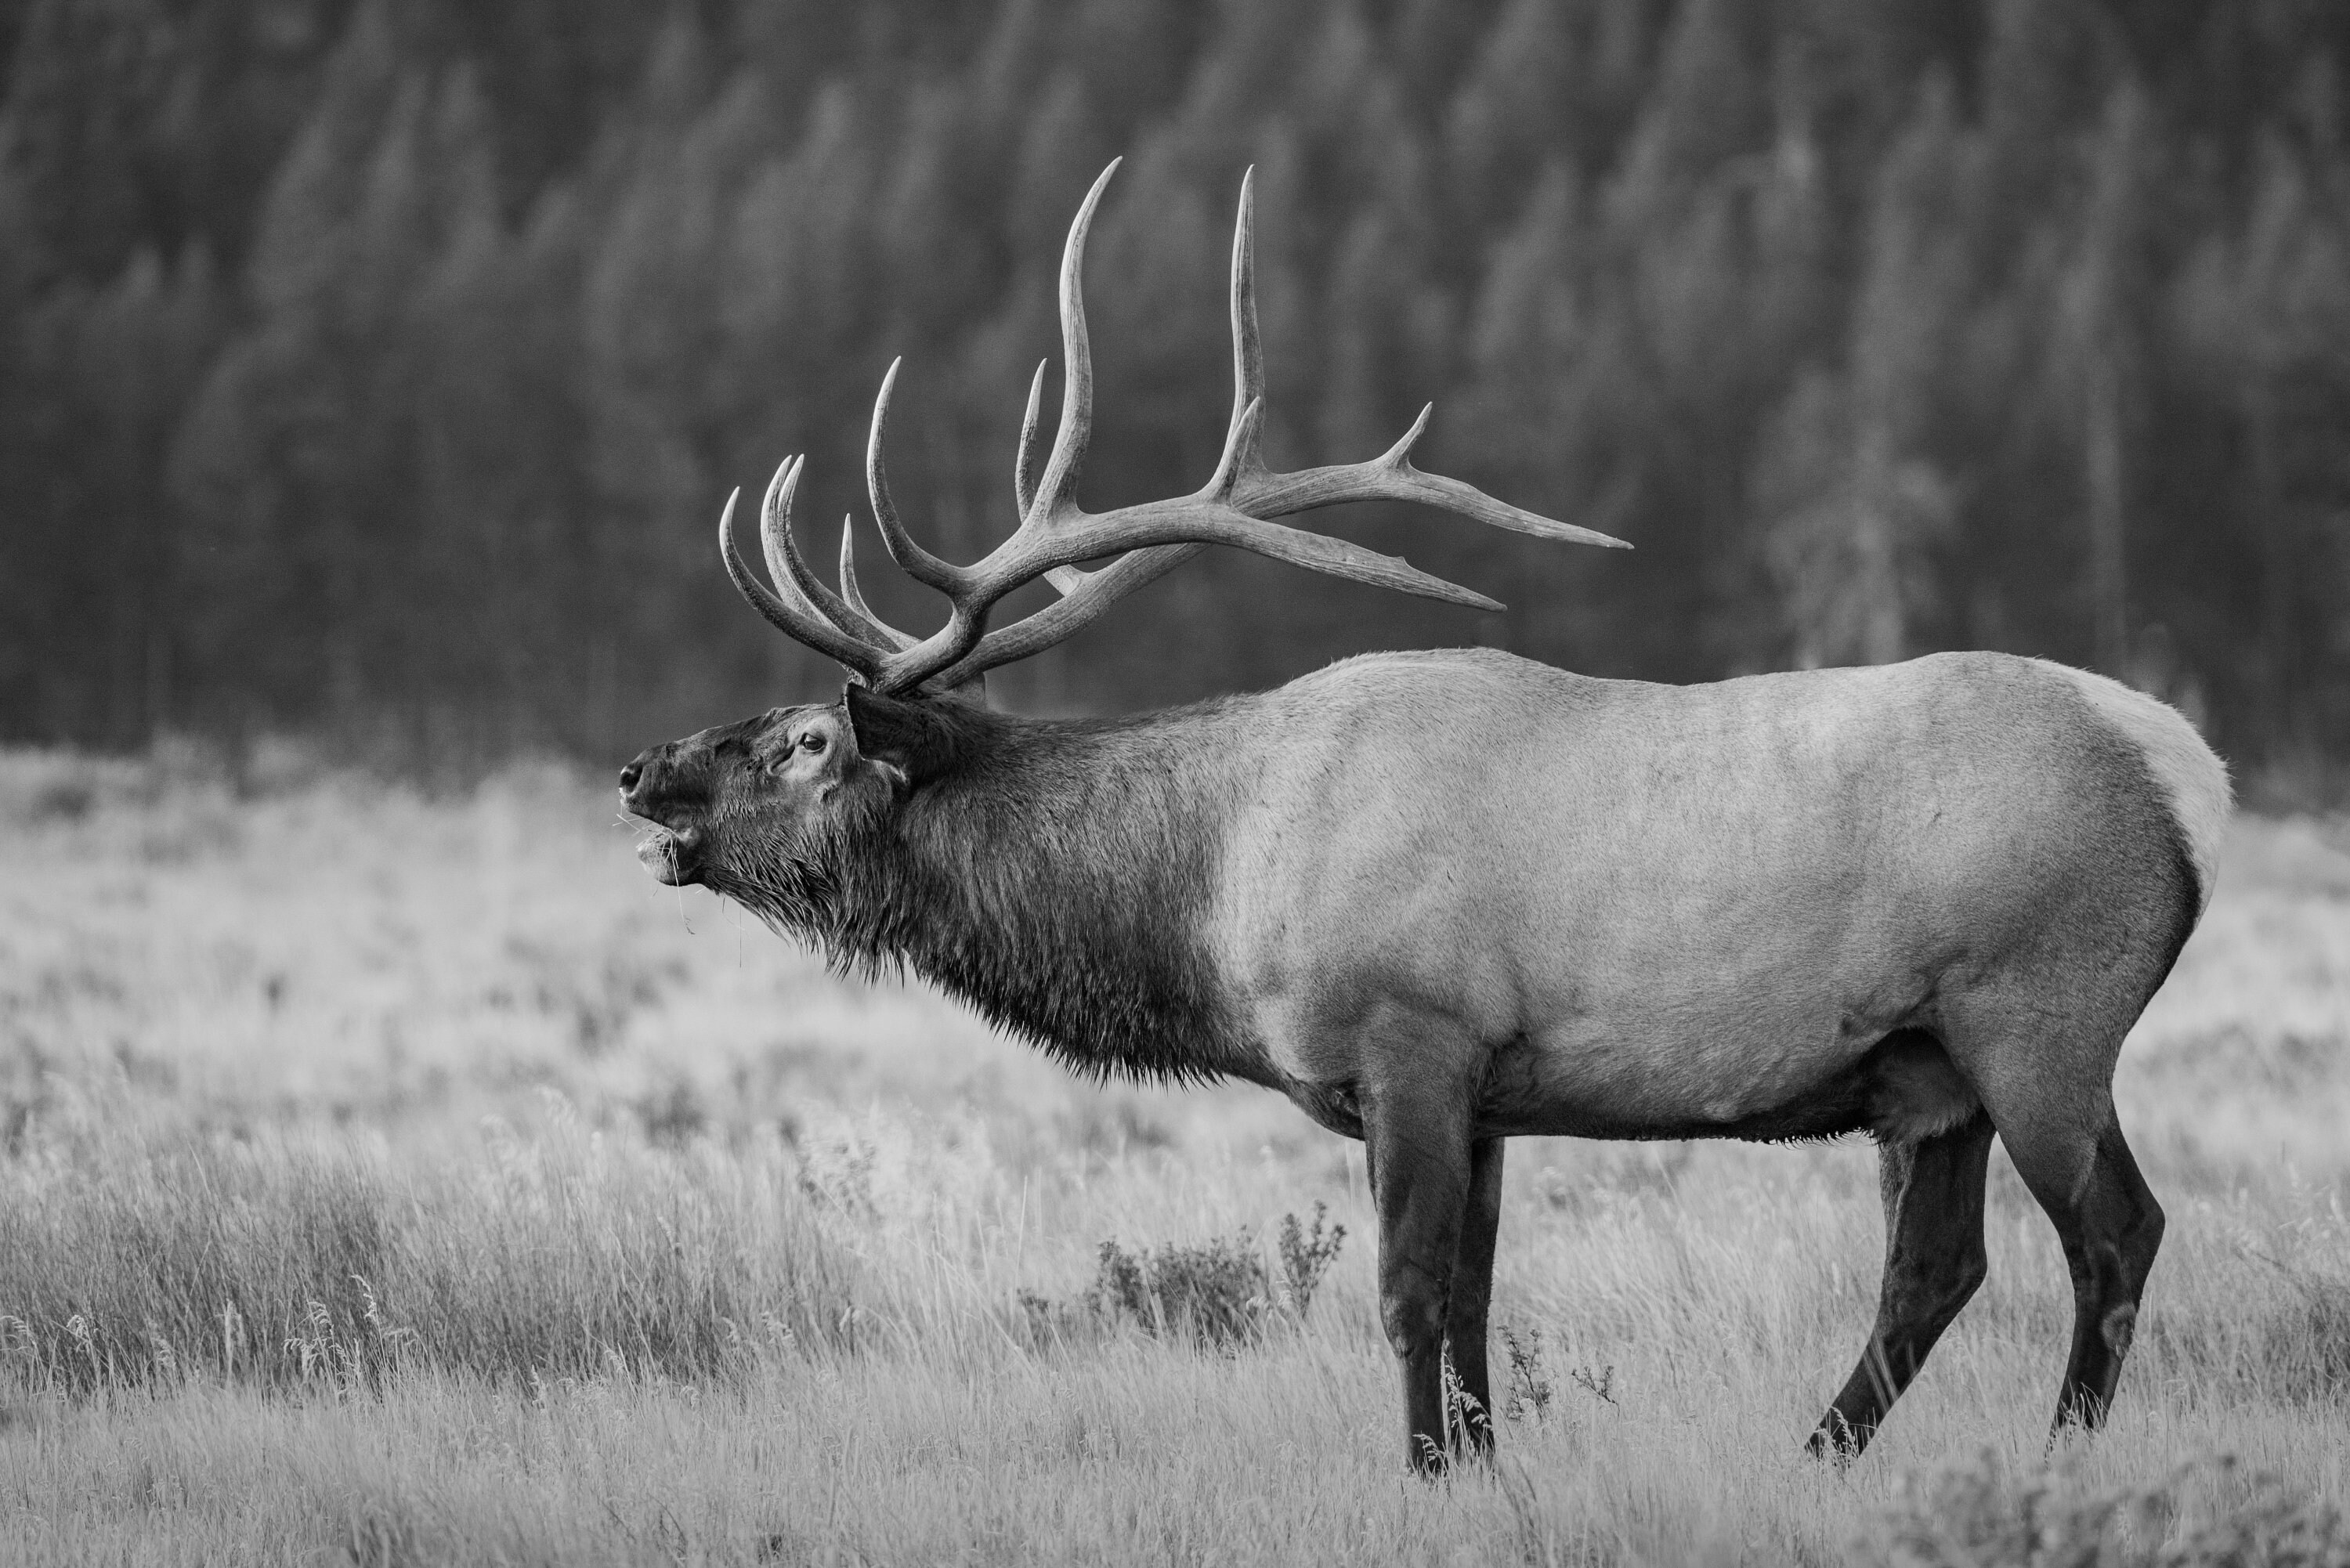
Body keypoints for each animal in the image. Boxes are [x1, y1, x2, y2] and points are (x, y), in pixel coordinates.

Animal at [618, 161, 2232, 1474]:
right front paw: (1480, 1468)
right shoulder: (1489, 1090)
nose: (643, 770)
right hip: (1927, 1068)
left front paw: (1423, 1477)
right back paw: (1819, 1457)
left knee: (2117, 1233)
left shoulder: (1412, 1035)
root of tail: (2191, 777)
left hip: (2036, 1013)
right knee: (1937, 1269)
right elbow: (1469, 1304)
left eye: (807, 741)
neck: (1214, 894)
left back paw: (2056, 1459)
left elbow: (1404, 1294)